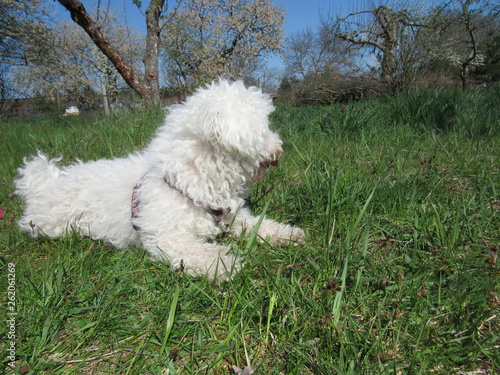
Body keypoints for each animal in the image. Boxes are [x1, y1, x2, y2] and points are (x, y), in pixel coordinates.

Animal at [14, 80, 304, 280]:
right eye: (264, 129)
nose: (280, 146)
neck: (190, 180)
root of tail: (44, 185)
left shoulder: (232, 218)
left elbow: (259, 225)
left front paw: (287, 234)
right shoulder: (167, 238)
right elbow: (196, 252)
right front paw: (223, 262)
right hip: (51, 225)